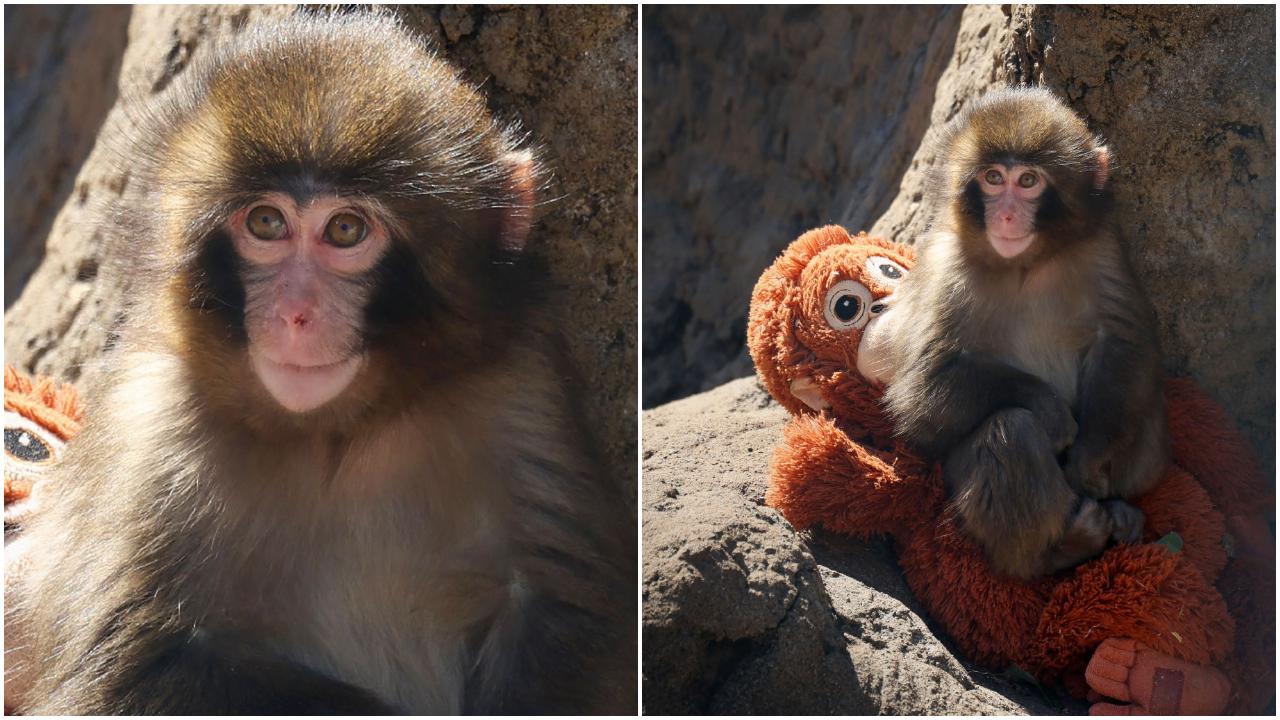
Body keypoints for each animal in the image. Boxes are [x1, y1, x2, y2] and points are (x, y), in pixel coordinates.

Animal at [6, 12, 634, 715]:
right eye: (266, 222)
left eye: (345, 231)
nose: (295, 315)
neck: (337, 432)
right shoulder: (152, 427)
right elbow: (131, 670)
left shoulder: (521, 387)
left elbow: (561, 611)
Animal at [882, 86, 1169, 580]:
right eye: (994, 178)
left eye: (1029, 181)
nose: (1007, 217)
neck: (1025, 264)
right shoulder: (945, 266)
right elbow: (922, 392)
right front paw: (1049, 409)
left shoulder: (1102, 246)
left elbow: (1122, 341)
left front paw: (1088, 457)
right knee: (1010, 431)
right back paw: (1057, 550)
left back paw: (1120, 509)